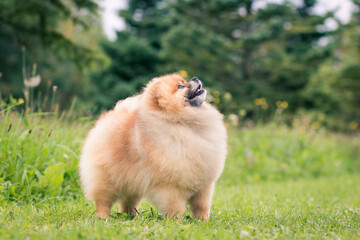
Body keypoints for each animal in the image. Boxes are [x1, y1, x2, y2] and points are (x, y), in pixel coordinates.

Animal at [80, 73, 226, 221]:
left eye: (184, 81)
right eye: (180, 86)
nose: (195, 77)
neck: (183, 123)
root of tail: (110, 117)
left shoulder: (204, 186)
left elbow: (201, 206)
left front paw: (203, 221)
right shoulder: (171, 187)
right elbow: (176, 207)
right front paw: (177, 221)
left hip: (133, 182)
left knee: (128, 202)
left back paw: (131, 216)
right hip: (107, 180)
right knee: (103, 200)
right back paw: (103, 217)